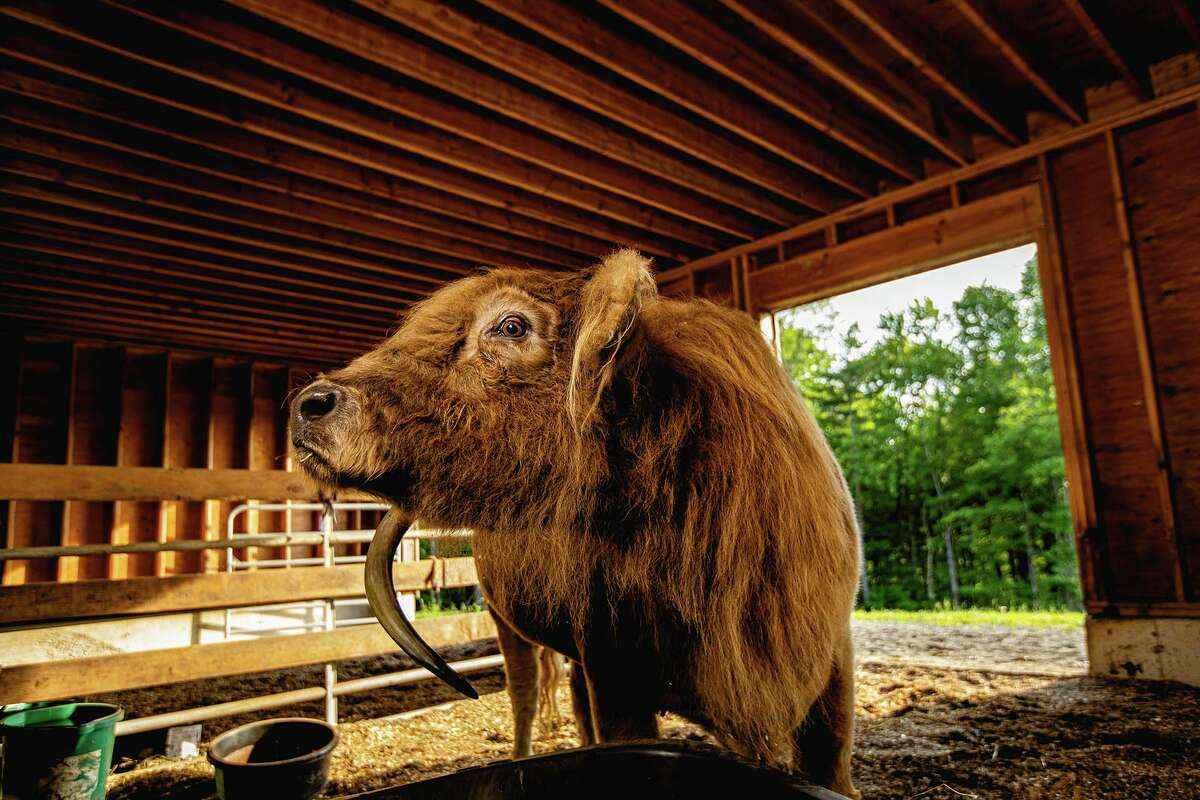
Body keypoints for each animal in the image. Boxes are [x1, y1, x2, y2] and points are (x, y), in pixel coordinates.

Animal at [295, 248, 868, 796]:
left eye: (511, 325)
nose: (310, 403)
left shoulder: (830, 656)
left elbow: (831, 760)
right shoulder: (613, 671)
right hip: (507, 624)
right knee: (525, 692)